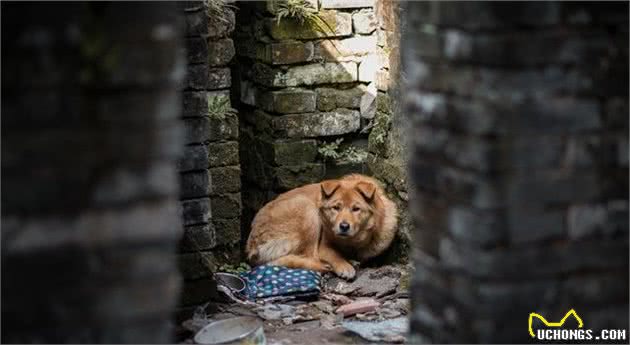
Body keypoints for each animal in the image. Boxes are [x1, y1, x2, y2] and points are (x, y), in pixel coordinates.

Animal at [244, 173, 398, 278]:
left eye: (356, 209)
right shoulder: (323, 247)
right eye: (336, 208)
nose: (344, 226)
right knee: (310, 257)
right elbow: (335, 255)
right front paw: (344, 265)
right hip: (307, 209)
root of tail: (252, 244)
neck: (351, 243)